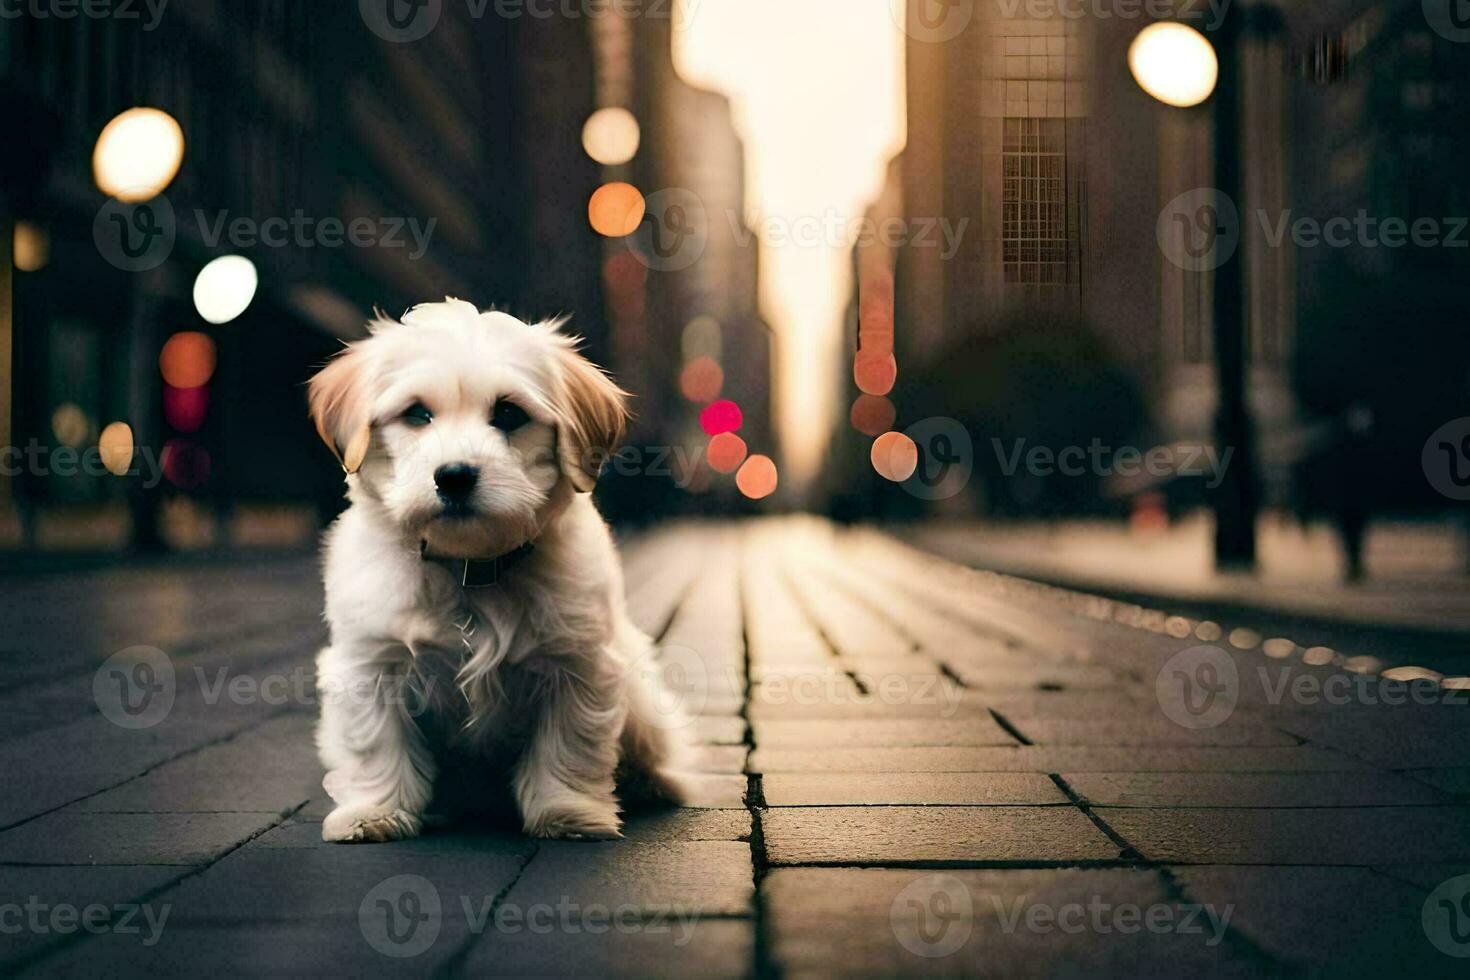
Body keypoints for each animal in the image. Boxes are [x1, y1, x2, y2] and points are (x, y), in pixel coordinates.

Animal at [308, 299, 682, 846]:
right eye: (417, 414)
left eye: (509, 413)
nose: (454, 475)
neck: (470, 566)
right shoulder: (370, 663)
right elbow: (376, 744)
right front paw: (374, 811)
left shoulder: (579, 664)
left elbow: (569, 745)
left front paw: (567, 812)